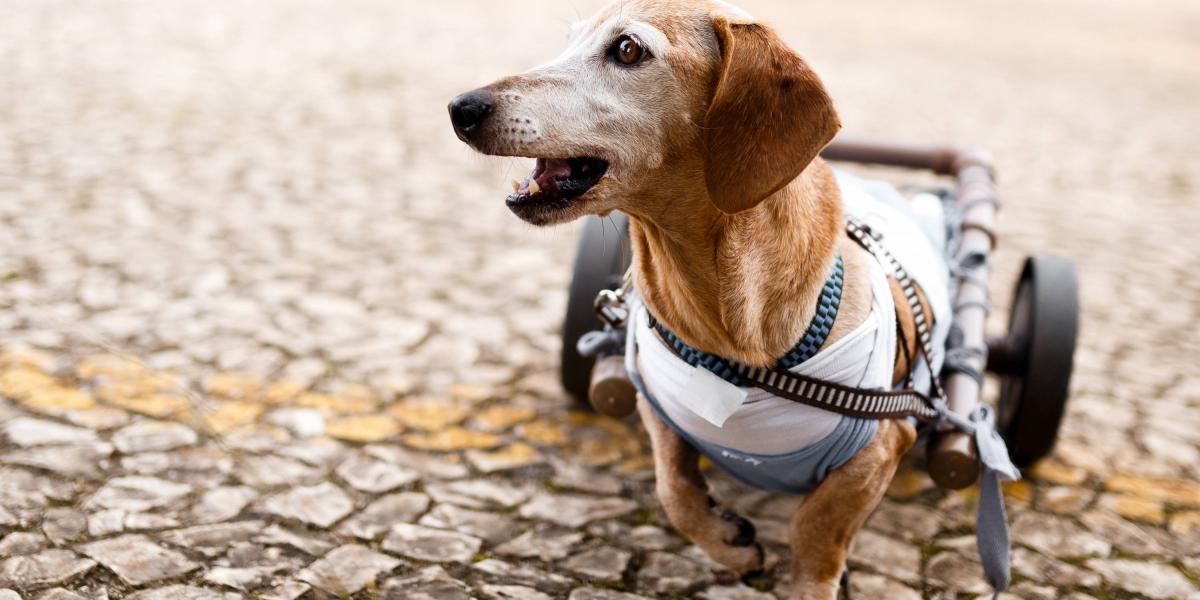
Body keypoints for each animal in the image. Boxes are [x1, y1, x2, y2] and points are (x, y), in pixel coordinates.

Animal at [446, 2, 950, 597]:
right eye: (569, 39)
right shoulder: (656, 407)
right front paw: (727, 543)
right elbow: (675, 491)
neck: (732, 338)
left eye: (627, 49)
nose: (461, 107)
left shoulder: (884, 441)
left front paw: (810, 578)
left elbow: (817, 525)